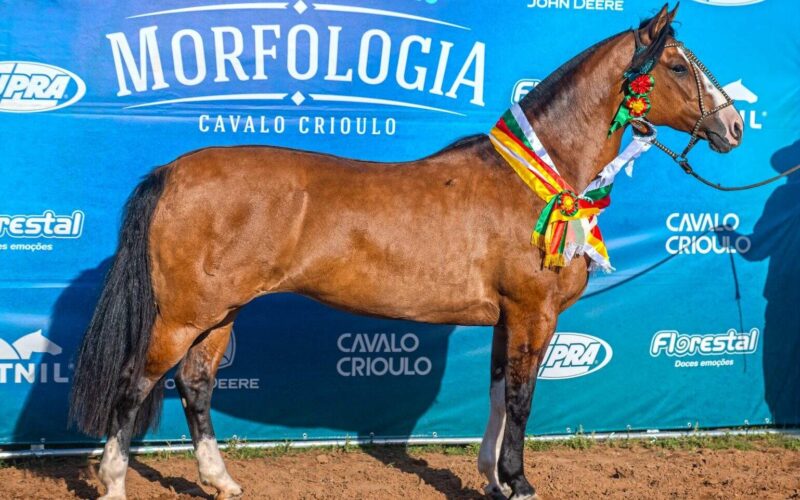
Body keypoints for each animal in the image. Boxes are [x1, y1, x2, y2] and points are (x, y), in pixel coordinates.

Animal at [70, 4, 743, 499]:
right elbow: (523, 398)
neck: (538, 177)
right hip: (182, 315)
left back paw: (221, 481)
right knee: (134, 384)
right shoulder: (533, 313)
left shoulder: (507, 318)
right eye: (678, 66)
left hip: (219, 313)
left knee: (197, 385)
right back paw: (114, 484)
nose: (734, 125)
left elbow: (499, 393)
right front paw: (519, 482)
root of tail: (172, 173)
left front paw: (491, 479)